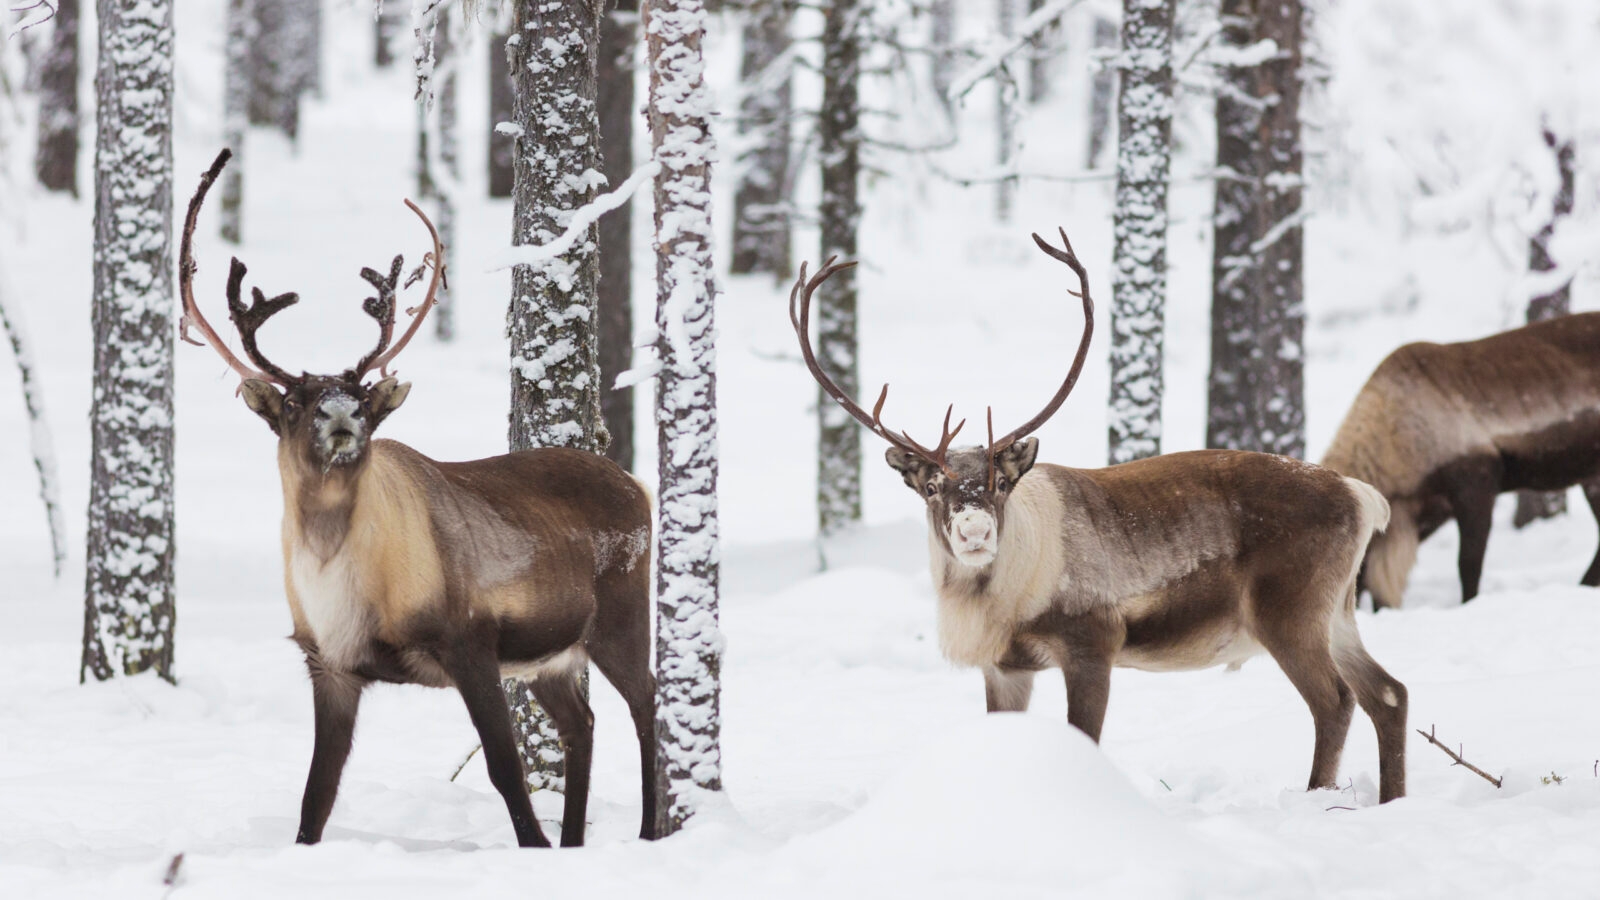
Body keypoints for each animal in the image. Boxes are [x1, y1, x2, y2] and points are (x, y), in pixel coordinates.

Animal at [177, 149, 657, 848]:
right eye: (294, 403)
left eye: (361, 397)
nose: (343, 413)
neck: (341, 572)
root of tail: (637, 483)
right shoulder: (329, 664)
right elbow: (315, 796)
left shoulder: (470, 643)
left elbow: (504, 768)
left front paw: (533, 847)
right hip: (551, 659)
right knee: (583, 723)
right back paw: (575, 843)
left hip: (618, 617)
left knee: (647, 702)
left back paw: (650, 830)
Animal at [791, 230, 1409, 803]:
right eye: (932, 486)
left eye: (999, 484)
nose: (974, 531)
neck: (1002, 599)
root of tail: (1361, 495)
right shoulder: (1006, 667)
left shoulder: (1092, 643)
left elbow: (1083, 738)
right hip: (1339, 612)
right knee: (1388, 694)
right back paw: (1390, 799)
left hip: (1290, 611)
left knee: (1335, 701)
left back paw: (1317, 798)